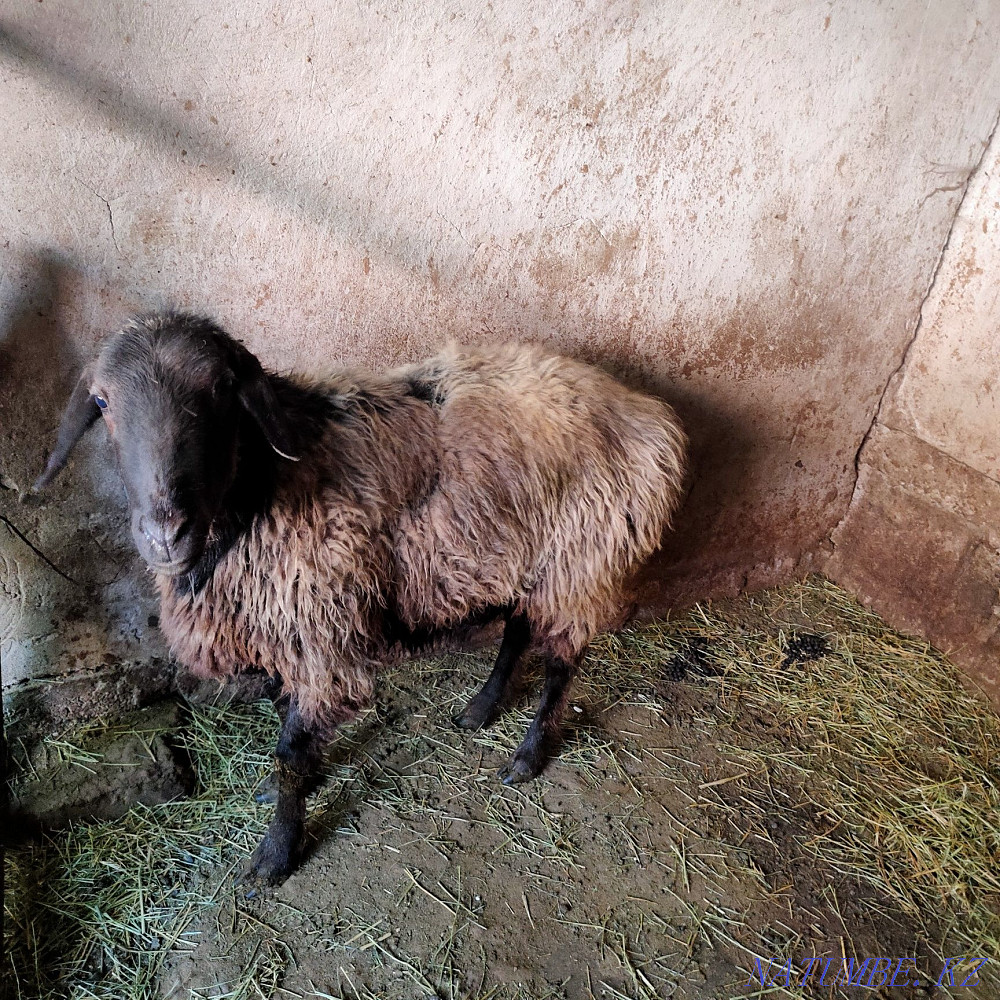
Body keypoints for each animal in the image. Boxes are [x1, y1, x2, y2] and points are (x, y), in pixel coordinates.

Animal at [36, 310, 687, 884]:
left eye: (220, 389)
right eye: (102, 402)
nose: (165, 533)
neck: (262, 490)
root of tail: (648, 416)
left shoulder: (319, 627)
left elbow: (292, 747)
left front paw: (276, 854)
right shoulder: (289, 631)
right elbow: (286, 720)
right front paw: (286, 790)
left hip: (579, 561)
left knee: (560, 662)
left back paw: (525, 757)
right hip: (527, 559)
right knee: (519, 630)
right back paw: (479, 709)